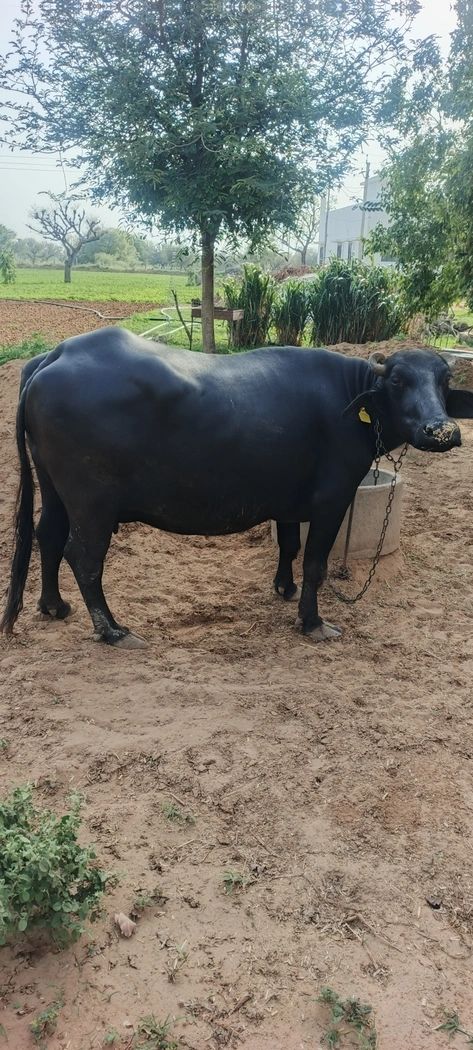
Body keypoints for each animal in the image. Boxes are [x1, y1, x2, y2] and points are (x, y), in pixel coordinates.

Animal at [2, 328, 473, 647]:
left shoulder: (288, 500)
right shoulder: (332, 498)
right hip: (92, 501)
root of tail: (57, 354)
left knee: (48, 536)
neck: (349, 401)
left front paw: (284, 589)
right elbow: (315, 563)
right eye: (397, 381)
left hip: (55, 489)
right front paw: (312, 621)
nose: (442, 431)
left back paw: (54, 606)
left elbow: (290, 546)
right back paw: (114, 631)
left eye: (444, 382)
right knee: (83, 557)